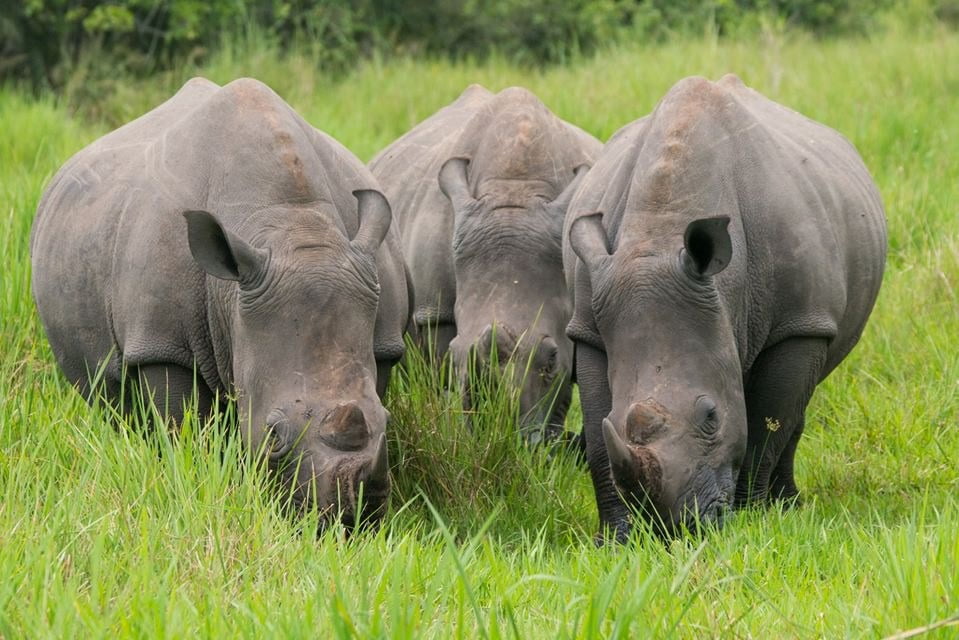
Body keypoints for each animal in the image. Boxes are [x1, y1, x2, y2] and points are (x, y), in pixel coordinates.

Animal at [30, 77, 410, 529]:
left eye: (388, 422)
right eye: (273, 436)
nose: (351, 516)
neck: (291, 225)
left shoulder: (381, 342)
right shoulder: (161, 344)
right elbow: (183, 430)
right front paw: (190, 476)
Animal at [565, 74, 886, 542]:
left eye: (711, 417)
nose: (677, 529)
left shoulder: (799, 323)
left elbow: (767, 425)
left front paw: (753, 518)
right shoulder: (588, 327)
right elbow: (596, 433)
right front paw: (616, 538)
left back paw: (787, 505)